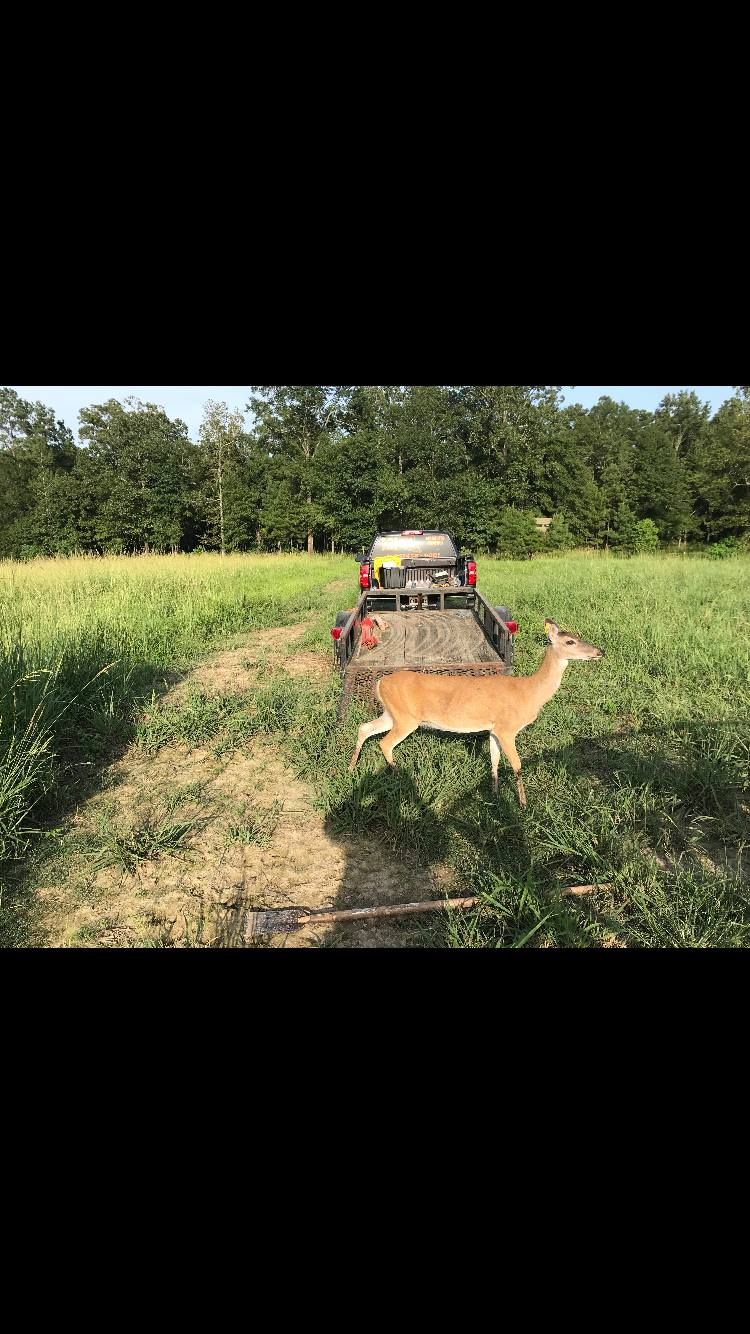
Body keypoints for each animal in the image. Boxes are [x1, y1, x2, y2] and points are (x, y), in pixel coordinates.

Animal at [348, 618, 605, 807]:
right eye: (570, 642)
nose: (600, 651)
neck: (529, 692)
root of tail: (380, 682)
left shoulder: (493, 729)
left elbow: (494, 760)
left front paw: (495, 794)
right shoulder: (507, 728)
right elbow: (517, 765)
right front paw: (523, 804)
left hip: (392, 713)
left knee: (365, 728)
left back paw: (352, 767)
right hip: (405, 718)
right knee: (385, 743)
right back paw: (398, 773)